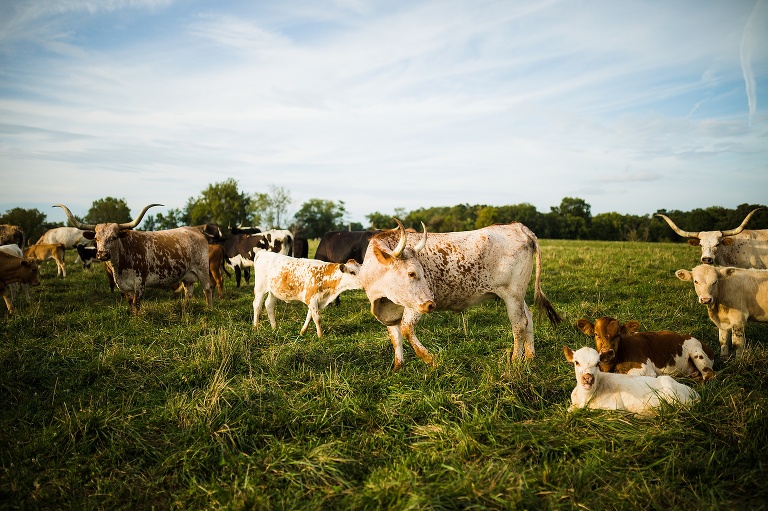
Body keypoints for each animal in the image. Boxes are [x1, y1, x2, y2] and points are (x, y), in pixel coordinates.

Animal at [55, 203, 212, 314]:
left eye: (114, 237)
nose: (102, 254)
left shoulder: (140, 284)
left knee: (207, 289)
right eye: (96, 238)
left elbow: (137, 304)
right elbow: (130, 304)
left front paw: (137, 322)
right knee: (188, 292)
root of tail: (195, 230)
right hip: (187, 275)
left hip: (203, 270)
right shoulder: (125, 287)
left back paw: (208, 309)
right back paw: (186, 309)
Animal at [357, 219, 561, 370]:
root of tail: (517, 226)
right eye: (411, 273)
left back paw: (515, 361)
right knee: (528, 318)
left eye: (420, 272)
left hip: (512, 294)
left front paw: (430, 360)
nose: (431, 304)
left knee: (518, 325)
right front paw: (398, 367)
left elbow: (406, 330)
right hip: (518, 296)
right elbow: (395, 336)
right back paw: (530, 357)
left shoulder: (414, 306)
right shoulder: (391, 309)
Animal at [576, 317, 715, 380]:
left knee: (709, 375)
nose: (607, 352)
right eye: (596, 334)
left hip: (697, 353)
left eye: (618, 334)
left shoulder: (646, 370)